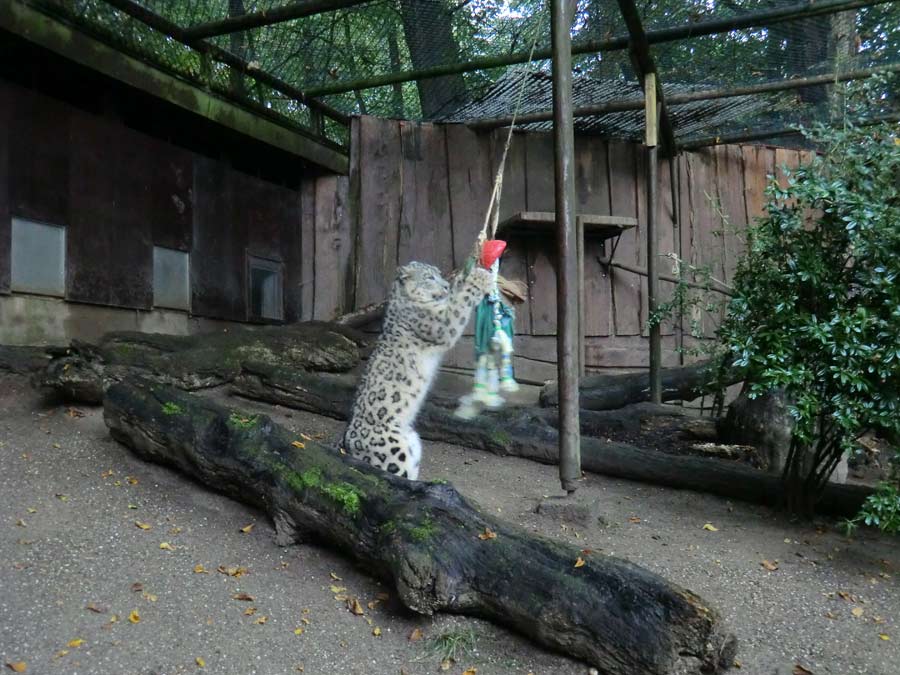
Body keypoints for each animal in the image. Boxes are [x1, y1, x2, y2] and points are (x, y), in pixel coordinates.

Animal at [342, 260, 492, 480]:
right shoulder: (441, 323)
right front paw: (478, 277)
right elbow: (458, 304)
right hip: (395, 452)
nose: (445, 286)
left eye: (439, 274)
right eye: (428, 277)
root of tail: (346, 443)